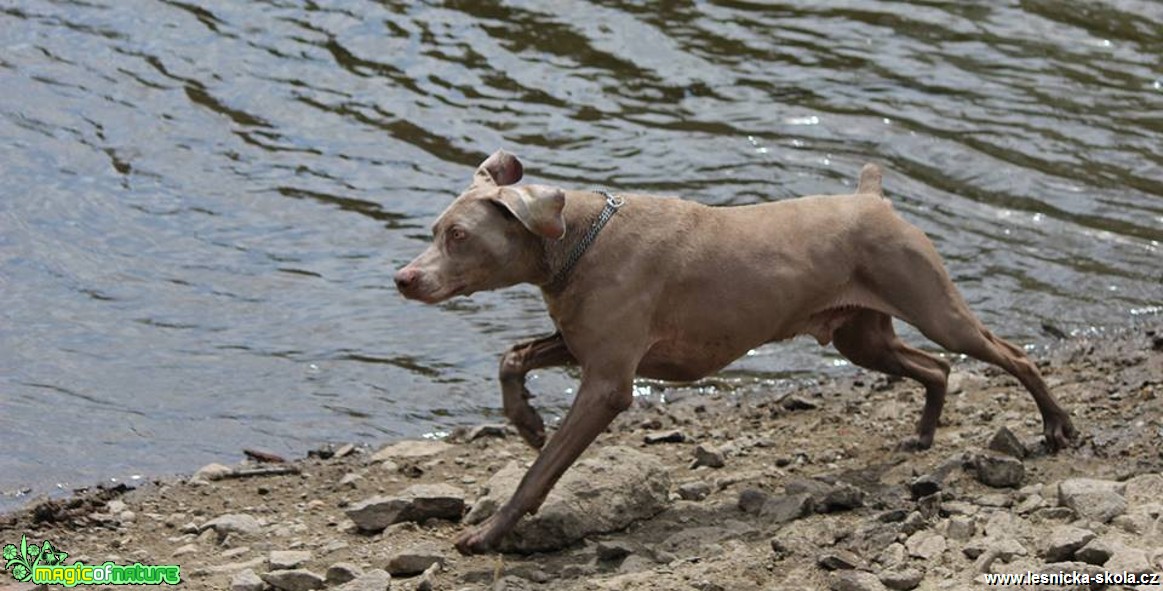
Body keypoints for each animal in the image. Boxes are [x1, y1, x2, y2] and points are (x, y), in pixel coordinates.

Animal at [395, 148, 1074, 553]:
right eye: (434, 231)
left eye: (458, 236)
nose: (403, 278)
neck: (575, 241)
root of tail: (872, 196)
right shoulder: (583, 342)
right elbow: (511, 356)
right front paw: (528, 421)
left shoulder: (609, 381)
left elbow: (539, 474)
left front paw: (488, 533)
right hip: (861, 336)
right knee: (935, 367)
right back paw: (925, 434)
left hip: (934, 308)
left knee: (1011, 355)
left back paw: (1057, 425)